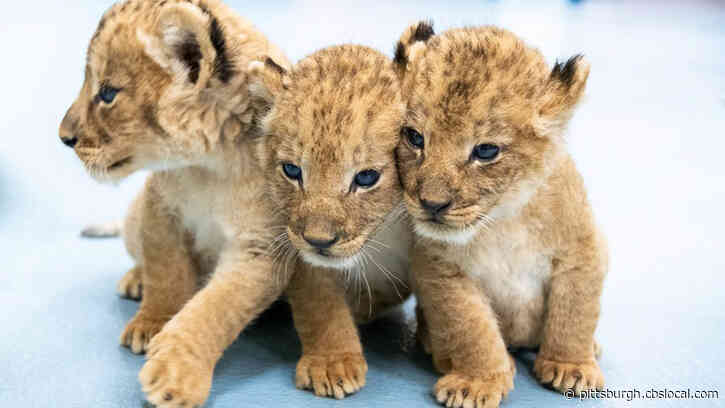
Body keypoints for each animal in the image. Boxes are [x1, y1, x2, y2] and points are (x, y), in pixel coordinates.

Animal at [58, 0, 293, 406]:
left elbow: (215, 308)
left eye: (108, 93)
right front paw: (150, 324)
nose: (63, 137)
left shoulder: (262, 246)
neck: (212, 165)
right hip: (133, 216)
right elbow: (166, 273)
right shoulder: (160, 209)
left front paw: (176, 375)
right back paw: (135, 280)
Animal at [247, 45, 412, 399]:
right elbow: (321, 305)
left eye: (366, 178)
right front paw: (332, 364)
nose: (318, 241)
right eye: (292, 170)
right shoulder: (301, 253)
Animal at [393, 22, 607, 407]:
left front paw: (571, 366)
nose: (432, 204)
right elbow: (471, 328)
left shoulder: (583, 248)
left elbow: (575, 312)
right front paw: (478, 381)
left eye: (486, 151)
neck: (503, 221)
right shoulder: (439, 268)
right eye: (415, 137)